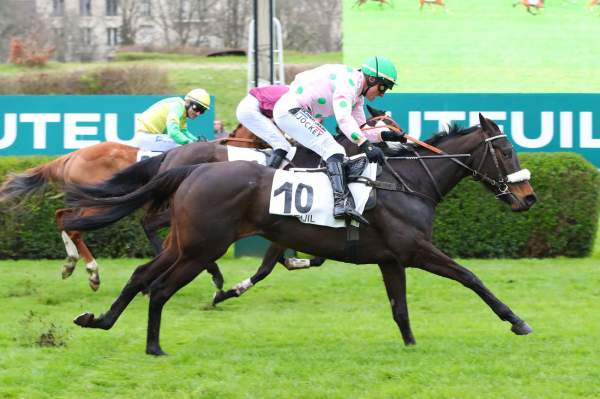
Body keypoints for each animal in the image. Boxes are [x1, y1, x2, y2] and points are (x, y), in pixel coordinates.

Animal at [0, 123, 262, 290]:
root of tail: (73, 155)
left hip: (88, 201)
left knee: (61, 216)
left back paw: (72, 265)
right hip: (100, 205)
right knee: (73, 226)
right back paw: (91, 272)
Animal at [64, 115, 536, 356]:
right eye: (506, 150)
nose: (528, 198)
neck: (407, 182)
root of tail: (191, 168)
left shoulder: (390, 259)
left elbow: (399, 308)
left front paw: (410, 345)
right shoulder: (415, 250)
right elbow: (470, 277)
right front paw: (517, 321)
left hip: (184, 242)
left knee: (141, 275)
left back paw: (99, 319)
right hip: (201, 248)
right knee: (160, 287)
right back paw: (155, 345)